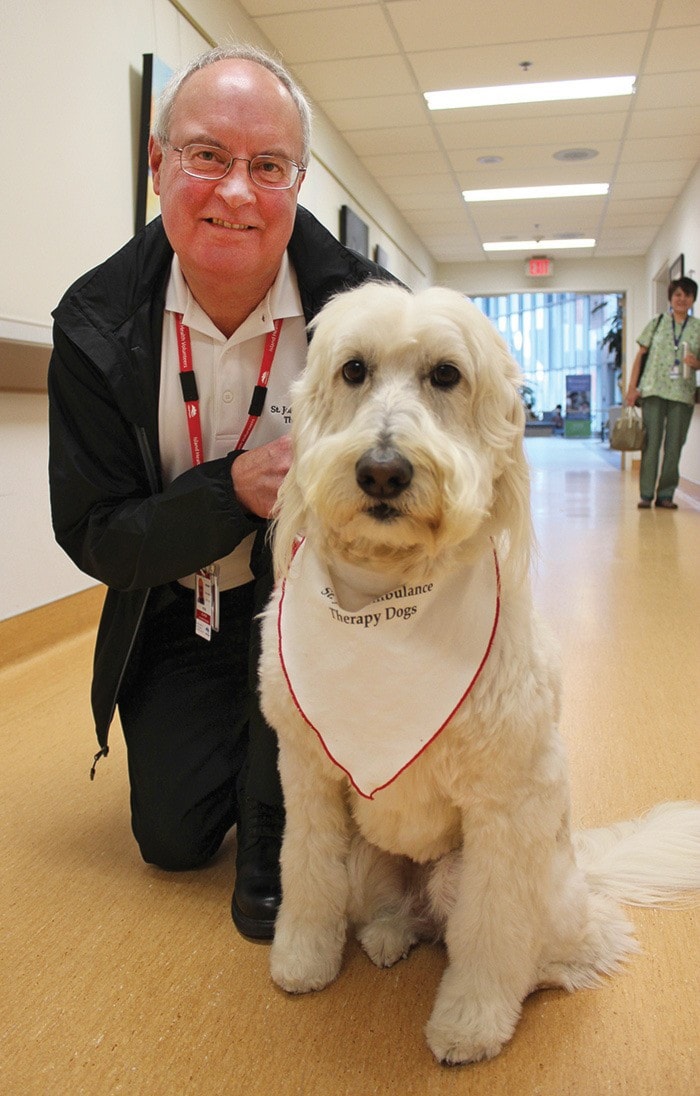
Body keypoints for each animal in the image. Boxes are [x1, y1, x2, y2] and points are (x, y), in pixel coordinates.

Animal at [258, 280, 700, 1060]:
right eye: (353, 370)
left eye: (445, 374)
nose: (382, 470)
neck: (387, 598)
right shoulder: (308, 778)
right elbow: (305, 873)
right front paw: (303, 959)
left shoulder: (505, 808)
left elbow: (492, 933)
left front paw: (470, 1022)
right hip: (371, 858)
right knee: (391, 908)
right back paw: (386, 936)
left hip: (505, 877)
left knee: (560, 941)